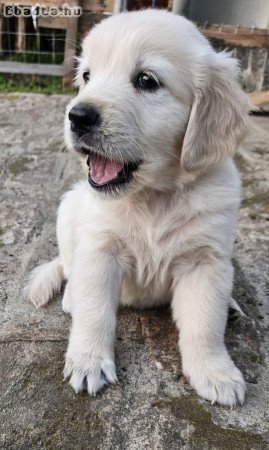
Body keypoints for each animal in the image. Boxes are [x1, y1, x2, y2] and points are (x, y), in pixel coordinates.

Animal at [25, 9, 249, 404]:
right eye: (87, 76)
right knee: (67, 265)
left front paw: (215, 373)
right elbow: (96, 312)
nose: (76, 116)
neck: (153, 196)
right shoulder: (100, 250)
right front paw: (88, 361)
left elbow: (205, 324)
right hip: (69, 207)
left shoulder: (205, 261)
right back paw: (71, 297)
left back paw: (232, 307)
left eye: (146, 80)